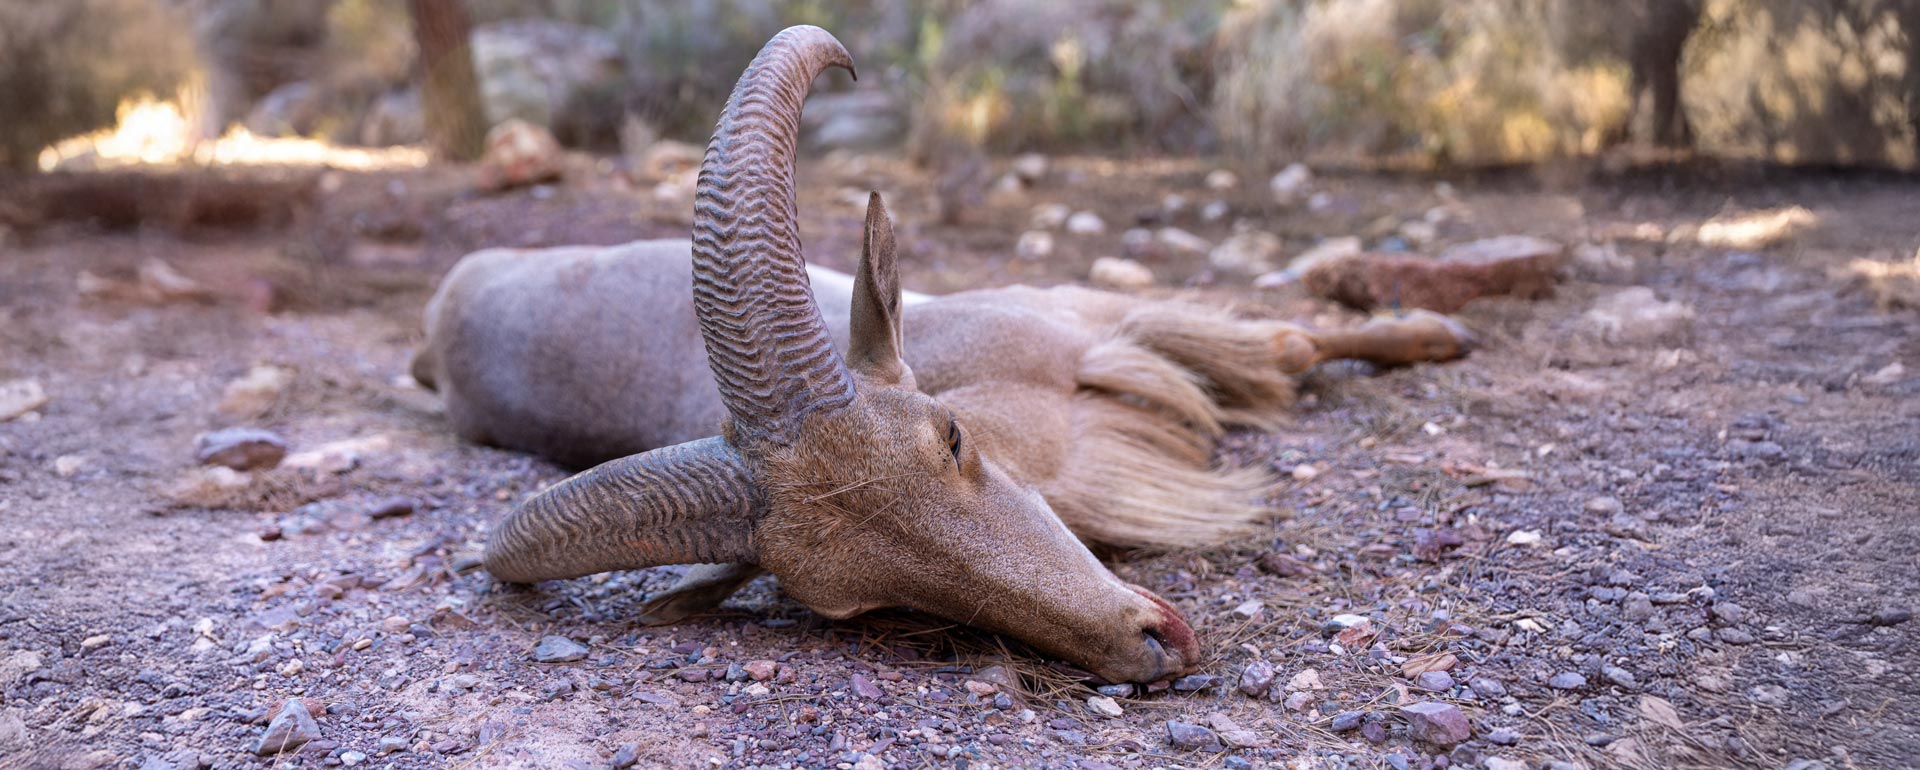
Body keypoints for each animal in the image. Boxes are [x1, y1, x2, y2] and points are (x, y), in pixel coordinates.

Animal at [419, 26, 1473, 683]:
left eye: (953, 438)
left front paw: (1438, 331)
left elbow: (1288, 339)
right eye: (863, 610)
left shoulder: (1081, 322)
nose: (1152, 645)